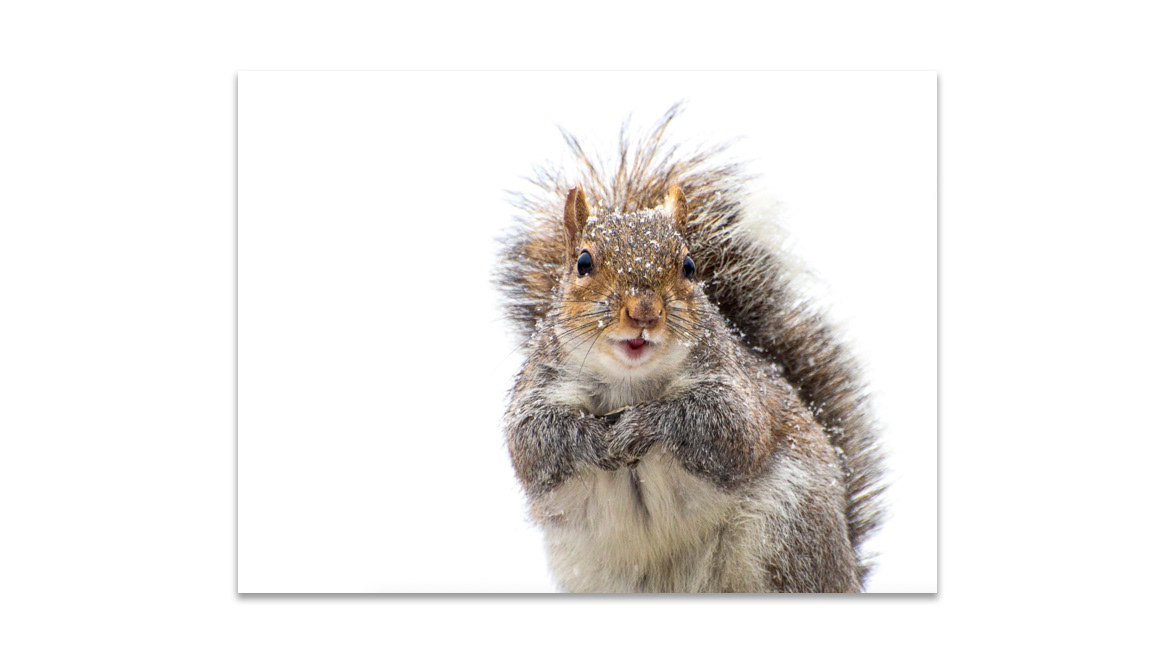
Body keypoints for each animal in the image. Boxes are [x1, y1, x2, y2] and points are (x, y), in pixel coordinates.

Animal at [496, 104, 885, 593]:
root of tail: (847, 566)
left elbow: (724, 428)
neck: (631, 380)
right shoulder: (539, 384)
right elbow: (535, 441)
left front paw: (641, 425)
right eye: (583, 263)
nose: (644, 313)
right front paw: (595, 439)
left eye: (689, 266)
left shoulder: (734, 385)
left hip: (789, 534)